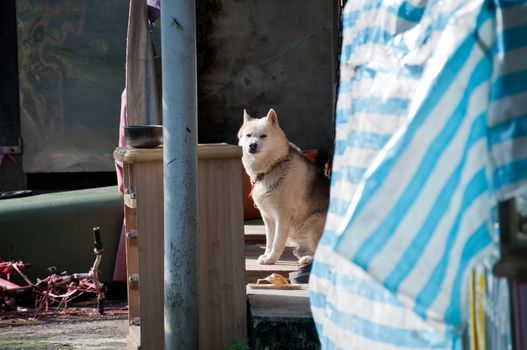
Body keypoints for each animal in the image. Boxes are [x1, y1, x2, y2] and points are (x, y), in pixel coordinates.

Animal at [239, 109, 330, 266]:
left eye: (263, 136)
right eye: (248, 135)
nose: (252, 145)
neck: (272, 166)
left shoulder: (282, 216)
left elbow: (277, 241)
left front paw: (271, 259)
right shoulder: (267, 217)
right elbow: (269, 240)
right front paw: (267, 255)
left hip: (314, 223)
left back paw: (307, 259)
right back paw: (303, 254)